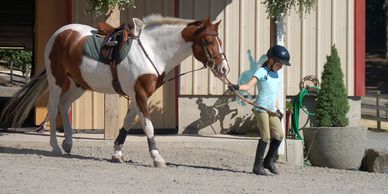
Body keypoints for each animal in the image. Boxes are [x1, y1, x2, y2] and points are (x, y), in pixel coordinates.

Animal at [0, 14, 229, 167]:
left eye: (220, 40)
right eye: (209, 41)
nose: (224, 68)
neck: (153, 50)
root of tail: (59, 34)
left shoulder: (138, 95)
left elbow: (127, 122)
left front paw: (117, 153)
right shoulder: (140, 94)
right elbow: (148, 126)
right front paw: (157, 158)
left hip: (78, 84)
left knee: (64, 105)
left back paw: (68, 143)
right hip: (57, 80)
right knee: (53, 106)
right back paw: (56, 146)